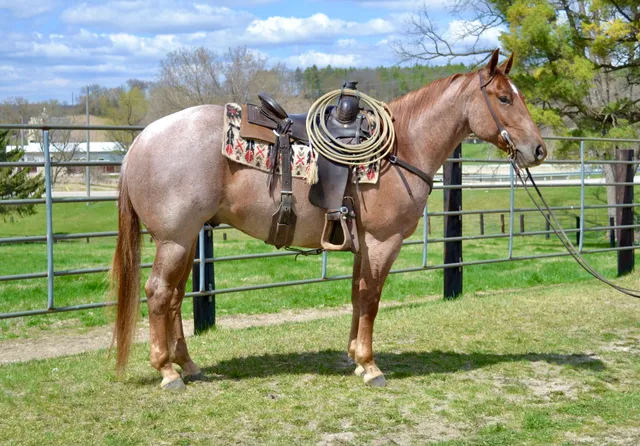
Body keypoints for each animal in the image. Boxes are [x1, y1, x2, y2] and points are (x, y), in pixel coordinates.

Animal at [112, 49, 546, 389]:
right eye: (504, 98)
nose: (538, 149)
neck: (402, 147)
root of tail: (142, 139)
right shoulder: (383, 241)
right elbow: (371, 298)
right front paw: (370, 366)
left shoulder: (364, 243)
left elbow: (357, 294)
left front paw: (354, 356)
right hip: (175, 239)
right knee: (158, 294)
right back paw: (168, 372)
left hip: (184, 240)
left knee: (174, 298)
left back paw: (187, 364)